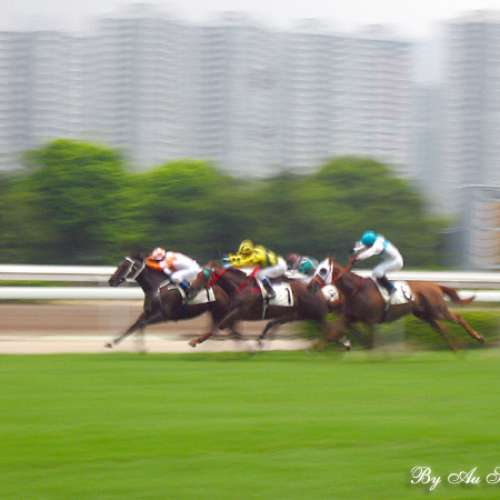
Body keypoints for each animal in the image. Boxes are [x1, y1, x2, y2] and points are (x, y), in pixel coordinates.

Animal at [106, 254, 240, 348]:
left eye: (124, 266)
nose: (111, 281)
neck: (156, 287)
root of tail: (225, 290)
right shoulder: (147, 313)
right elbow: (133, 326)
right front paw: (112, 342)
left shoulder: (163, 315)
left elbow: (141, 325)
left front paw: (142, 349)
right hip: (215, 313)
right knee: (220, 331)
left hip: (221, 312)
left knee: (231, 332)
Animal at [187, 261, 344, 348]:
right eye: (198, 274)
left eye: (204, 275)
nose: (190, 288)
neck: (240, 287)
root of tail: (320, 292)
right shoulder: (232, 311)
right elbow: (221, 326)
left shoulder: (240, 311)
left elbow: (220, 326)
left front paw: (196, 341)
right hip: (296, 315)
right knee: (273, 324)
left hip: (315, 314)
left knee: (330, 330)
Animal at [316, 256, 485, 350]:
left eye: (323, 270)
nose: (313, 283)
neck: (356, 289)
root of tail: (436, 285)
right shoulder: (350, 317)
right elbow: (332, 333)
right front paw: (316, 349)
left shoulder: (369, 320)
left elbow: (368, 340)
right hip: (426, 316)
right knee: (443, 329)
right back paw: (457, 348)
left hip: (438, 310)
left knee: (458, 318)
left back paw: (477, 337)